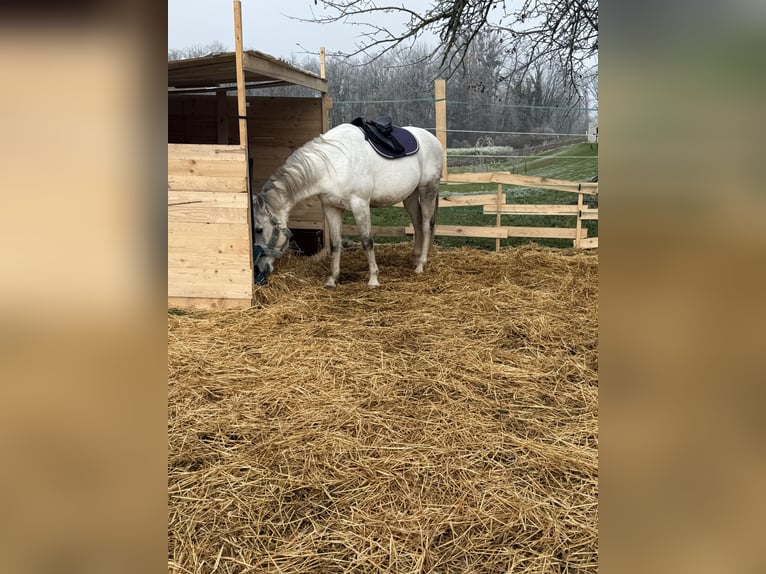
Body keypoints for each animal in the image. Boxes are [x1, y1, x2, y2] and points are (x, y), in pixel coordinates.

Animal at [251, 122, 443, 287]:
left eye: (259, 229)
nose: (259, 268)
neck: (331, 164)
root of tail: (433, 139)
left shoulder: (360, 205)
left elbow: (367, 241)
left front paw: (373, 279)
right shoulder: (331, 207)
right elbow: (335, 243)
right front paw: (332, 279)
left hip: (427, 190)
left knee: (426, 225)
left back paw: (421, 265)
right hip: (410, 196)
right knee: (417, 224)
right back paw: (415, 259)